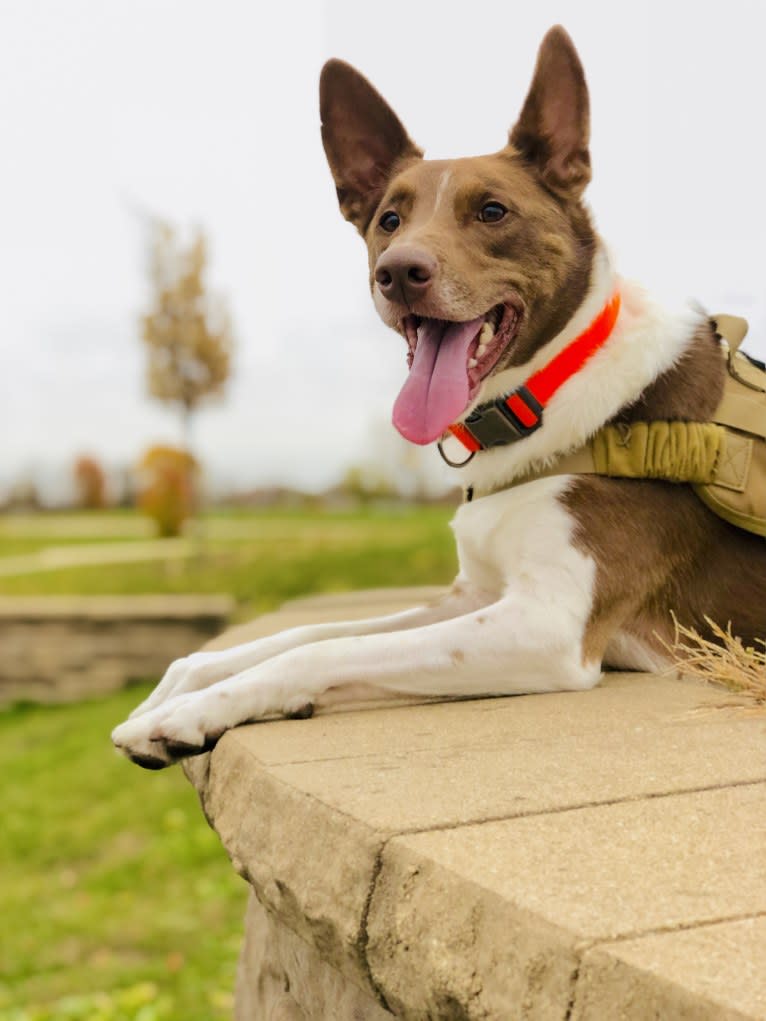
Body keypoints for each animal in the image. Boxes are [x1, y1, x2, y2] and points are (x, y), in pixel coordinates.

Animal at [113, 27, 766, 767]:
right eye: (390, 219)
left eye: (492, 211)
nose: (400, 272)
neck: (548, 392)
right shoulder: (472, 594)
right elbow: (306, 635)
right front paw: (181, 686)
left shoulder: (548, 624)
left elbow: (323, 650)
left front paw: (188, 714)